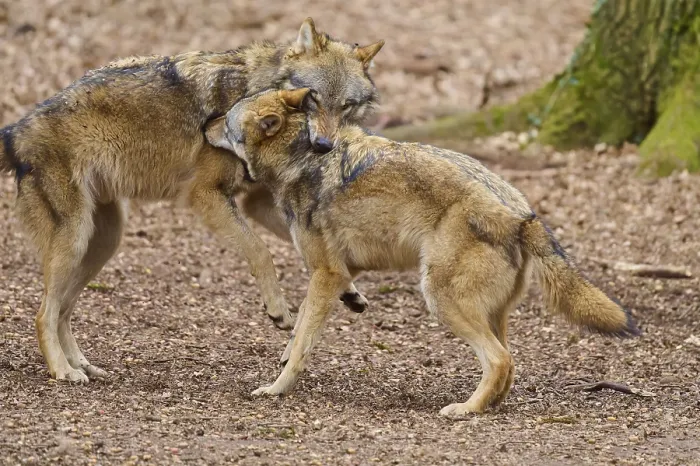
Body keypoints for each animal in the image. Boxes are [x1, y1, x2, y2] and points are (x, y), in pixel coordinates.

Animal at [0, 18, 384, 383]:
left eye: (346, 105)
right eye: (313, 98)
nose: (323, 146)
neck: (253, 88)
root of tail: (15, 130)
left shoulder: (256, 202)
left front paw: (350, 292)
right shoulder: (207, 194)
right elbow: (261, 252)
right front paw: (277, 309)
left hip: (103, 242)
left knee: (63, 311)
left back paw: (82, 365)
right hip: (77, 239)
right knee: (43, 314)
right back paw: (63, 371)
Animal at [205, 88, 641, 417]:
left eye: (225, 119)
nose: (202, 123)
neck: (300, 155)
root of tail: (522, 214)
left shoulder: (326, 272)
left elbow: (302, 344)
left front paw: (277, 388)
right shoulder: (344, 270)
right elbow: (300, 329)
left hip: (440, 298)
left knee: (499, 360)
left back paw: (465, 410)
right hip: (488, 311)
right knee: (510, 363)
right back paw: (487, 405)